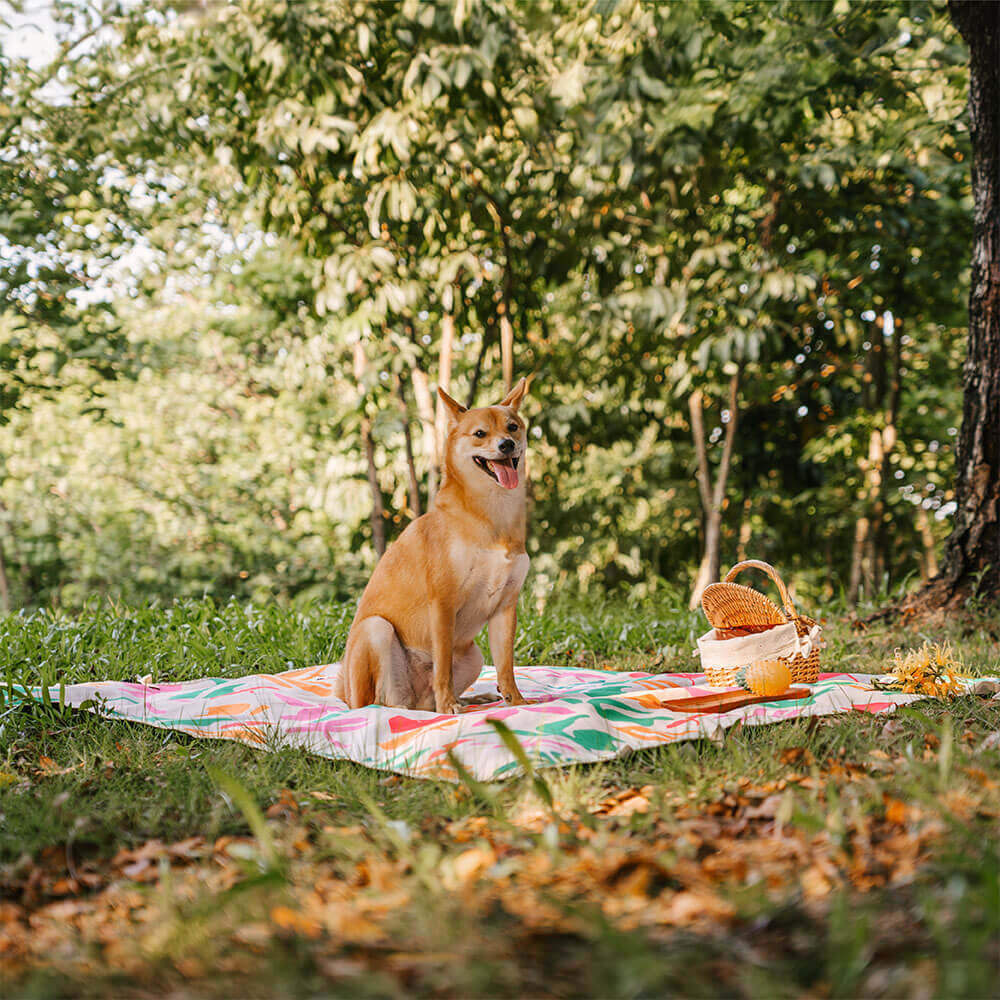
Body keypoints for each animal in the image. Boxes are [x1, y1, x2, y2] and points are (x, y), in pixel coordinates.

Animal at [336, 376, 536, 712]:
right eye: (480, 433)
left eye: (512, 427)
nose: (506, 445)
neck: (490, 514)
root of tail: (343, 696)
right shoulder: (442, 604)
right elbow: (442, 666)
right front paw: (449, 709)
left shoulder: (505, 608)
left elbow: (506, 666)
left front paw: (516, 701)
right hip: (376, 630)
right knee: (379, 705)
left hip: (473, 656)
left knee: (426, 705)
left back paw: (471, 698)